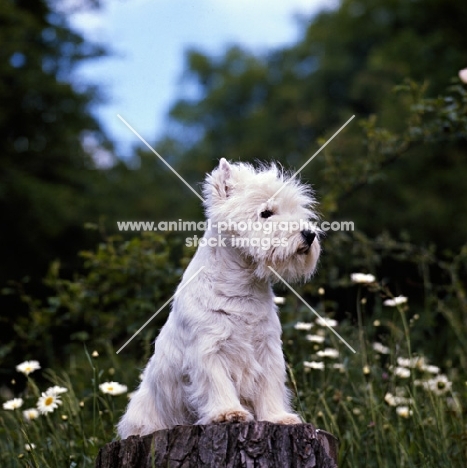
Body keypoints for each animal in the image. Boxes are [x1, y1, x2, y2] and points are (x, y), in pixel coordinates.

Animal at [119, 158, 320, 438]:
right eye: (266, 213)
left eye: (297, 210)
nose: (309, 235)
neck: (243, 288)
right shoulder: (209, 349)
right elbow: (217, 383)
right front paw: (229, 413)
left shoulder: (267, 349)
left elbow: (269, 386)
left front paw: (278, 417)